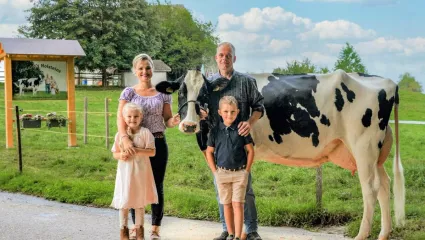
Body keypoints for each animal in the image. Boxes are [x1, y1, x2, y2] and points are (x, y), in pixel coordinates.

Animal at [157, 69, 404, 240]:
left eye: (204, 93)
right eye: (181, 91)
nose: (189, 125)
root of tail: (388, 82)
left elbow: (239, 192)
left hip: (364, 146)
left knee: (370, 188)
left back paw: (362, 234)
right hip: (377, 152)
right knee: (384, 184)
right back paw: (384, 233)